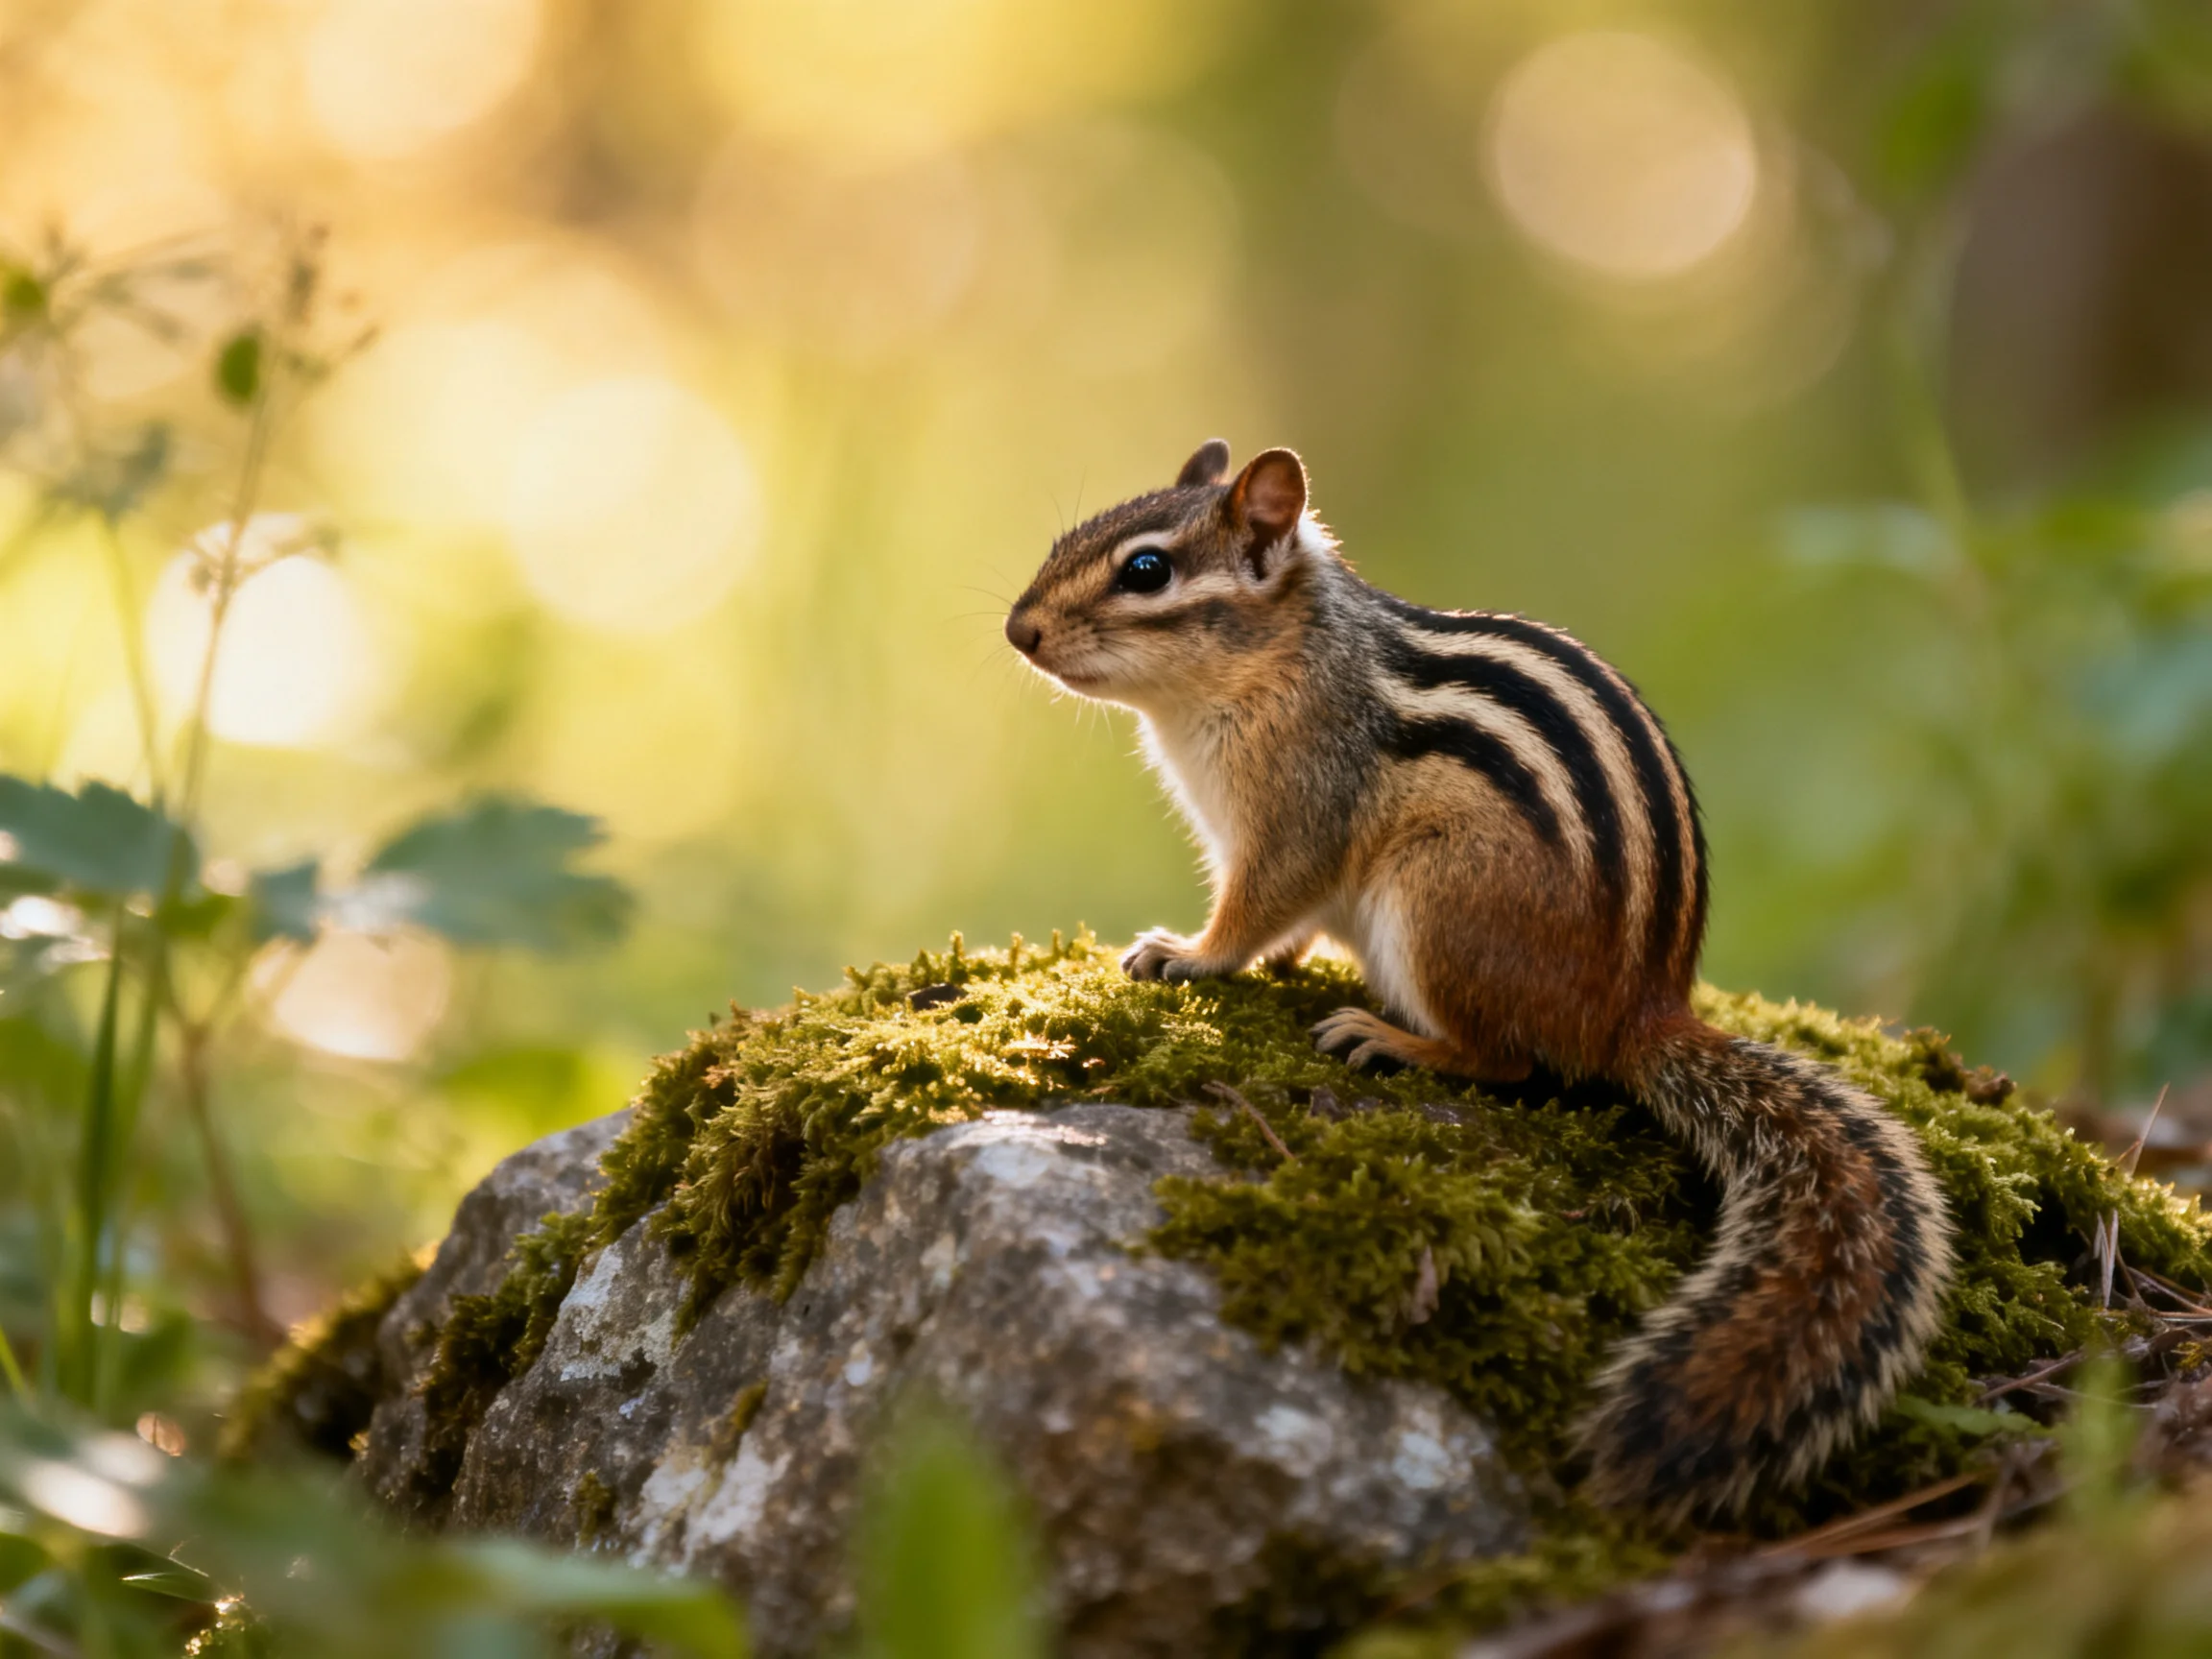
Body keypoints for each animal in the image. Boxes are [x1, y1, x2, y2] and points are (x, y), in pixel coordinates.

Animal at [1004, 440, 1956, 1521]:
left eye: (1147, 570)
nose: (1017, 629)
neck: (1285, 657)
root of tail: (1640, 1015)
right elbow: (1289, 927)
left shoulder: (1296, 811)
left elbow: (1256, 909)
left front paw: (1186, 954)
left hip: (1435, 902)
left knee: (1509, 1062)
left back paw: (1392, 1038)